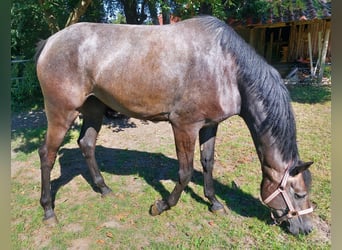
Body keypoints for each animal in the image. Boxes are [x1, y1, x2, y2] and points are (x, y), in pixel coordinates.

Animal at [36, 15, 314, 234]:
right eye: (299, 194)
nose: (306, 229)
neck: (226, 66)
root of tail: (49, 42)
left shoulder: (209, 125)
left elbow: (207, 163)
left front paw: (214, 202)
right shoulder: (184, 126)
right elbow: (185, 172)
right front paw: (160, 206)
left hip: (94, 110)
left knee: (86, 144)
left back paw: (103, 188)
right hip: (62, 113)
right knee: (47, 154)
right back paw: (49, 211)